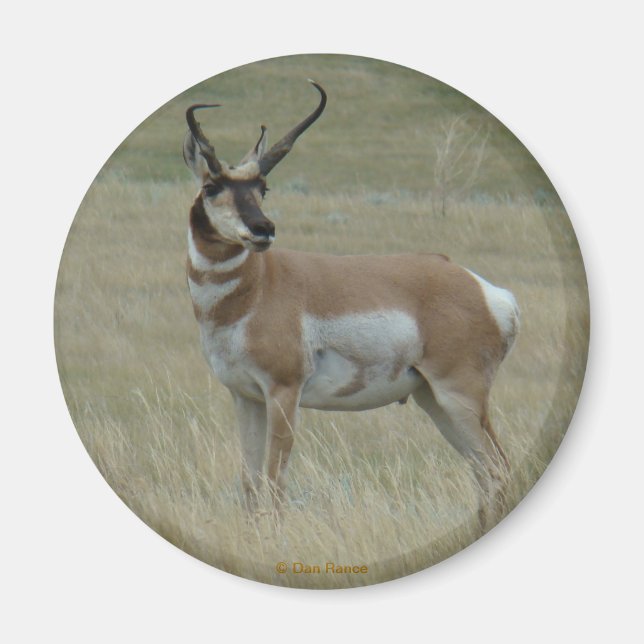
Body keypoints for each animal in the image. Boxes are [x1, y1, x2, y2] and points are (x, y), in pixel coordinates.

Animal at [183, 80, 519, 530]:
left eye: (262, 188)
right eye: (211, 187)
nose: (263, 229)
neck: (257, 288)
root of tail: (487, 291)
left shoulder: (283, 393)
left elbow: (274, 483)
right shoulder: (246, 397)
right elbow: (250, 486)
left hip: (459, 397)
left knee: (498, 470)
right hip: (435, 401)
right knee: (484, 473)